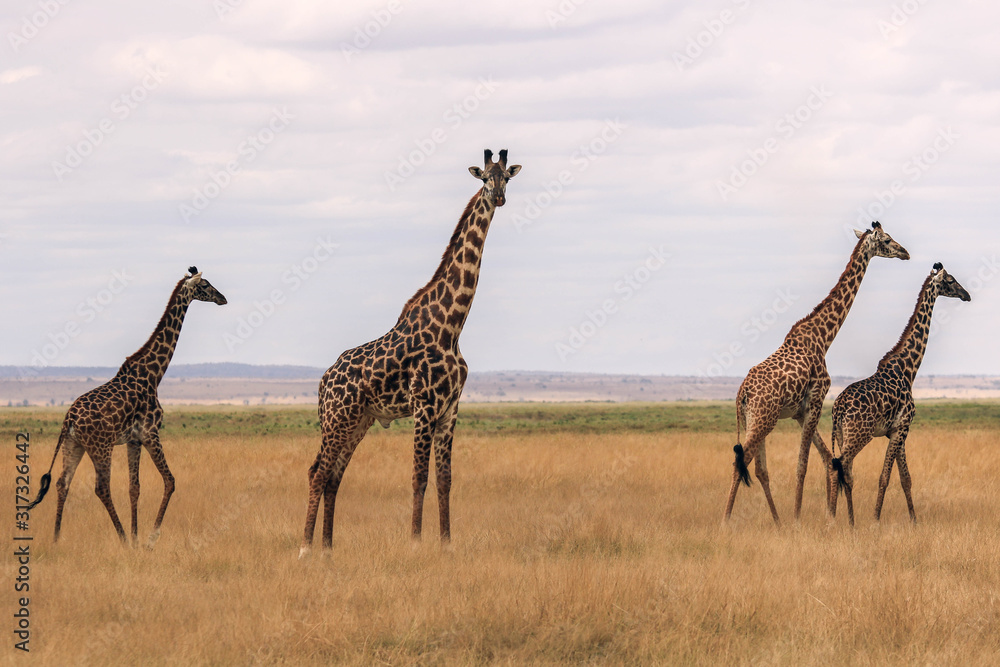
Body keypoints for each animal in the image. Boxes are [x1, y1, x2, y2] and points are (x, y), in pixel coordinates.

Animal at [23, 268, 229, 548]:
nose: (223, 298)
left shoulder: (133, 439)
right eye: (206, 285)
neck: (153, 374)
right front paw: (148, 539)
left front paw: (136, 537)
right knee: (101, 487)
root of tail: (69, 419)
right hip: (100, 446)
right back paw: (119, 538)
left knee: (62, 483)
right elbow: (170, 481)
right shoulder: (150, 432)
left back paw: (56, 540)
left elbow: (135, 488)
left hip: (73, 444)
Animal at [298, 149, 524, 556]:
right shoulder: (424, 407)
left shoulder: (450, 410)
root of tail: (323, 382)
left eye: (507, 178)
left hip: (359, 421)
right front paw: (416, 542)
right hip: (337, 419)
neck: (452, 326)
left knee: (335, 476)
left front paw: (447, 544)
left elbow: (445, 479)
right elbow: (418, 477)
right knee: (318, 471)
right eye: (485, 178)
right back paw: (306, 548)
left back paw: (328, 548)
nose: (498, 197)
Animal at [724, 222, 912, 524]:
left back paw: (777, 522)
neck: (824, 338)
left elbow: (824, 458)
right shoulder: (815, 400)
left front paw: (827, 515)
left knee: (759, 468)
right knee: (741, 460)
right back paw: (726, 521)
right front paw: (799, 519)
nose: (905, 252)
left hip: (758, 419)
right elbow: (803, 464)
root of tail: (742, 393)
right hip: (763, 419)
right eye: (886, 239)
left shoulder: (801, 412)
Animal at [828, 264, 968, 524]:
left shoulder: (898, 431)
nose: (967, 295)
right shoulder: (902, 428)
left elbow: (906, 478)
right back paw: (831, 519)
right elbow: (885, 477)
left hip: (842, 435)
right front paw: (875, 520)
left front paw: (914, 520)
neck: (908, 369)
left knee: (845, 471)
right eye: (951, 280)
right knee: (838, 468)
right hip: (859, 435)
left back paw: (850, 522)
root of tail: (838, 409)